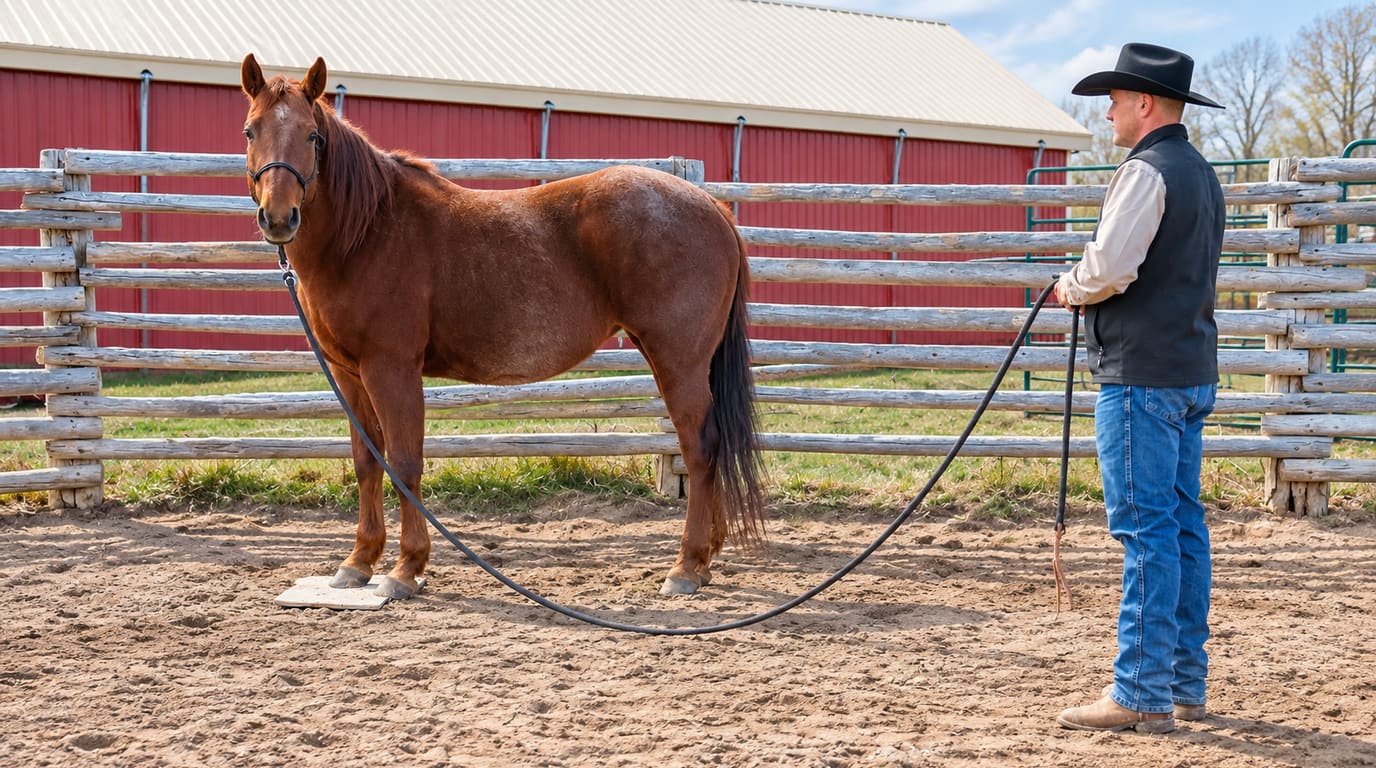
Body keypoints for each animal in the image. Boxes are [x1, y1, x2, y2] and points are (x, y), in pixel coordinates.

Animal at [240, 54, 765, 599]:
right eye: (250, 130)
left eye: (312, 137)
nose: (278, 217)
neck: (369, 233)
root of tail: (712, 207)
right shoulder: (349, 374)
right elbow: (368, 462)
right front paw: (358, 561)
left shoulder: (391, 368)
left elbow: (404, 462)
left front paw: (406, 569)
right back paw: (706, 559)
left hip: (678, 360)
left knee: (701, 447)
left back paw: (687, 565)